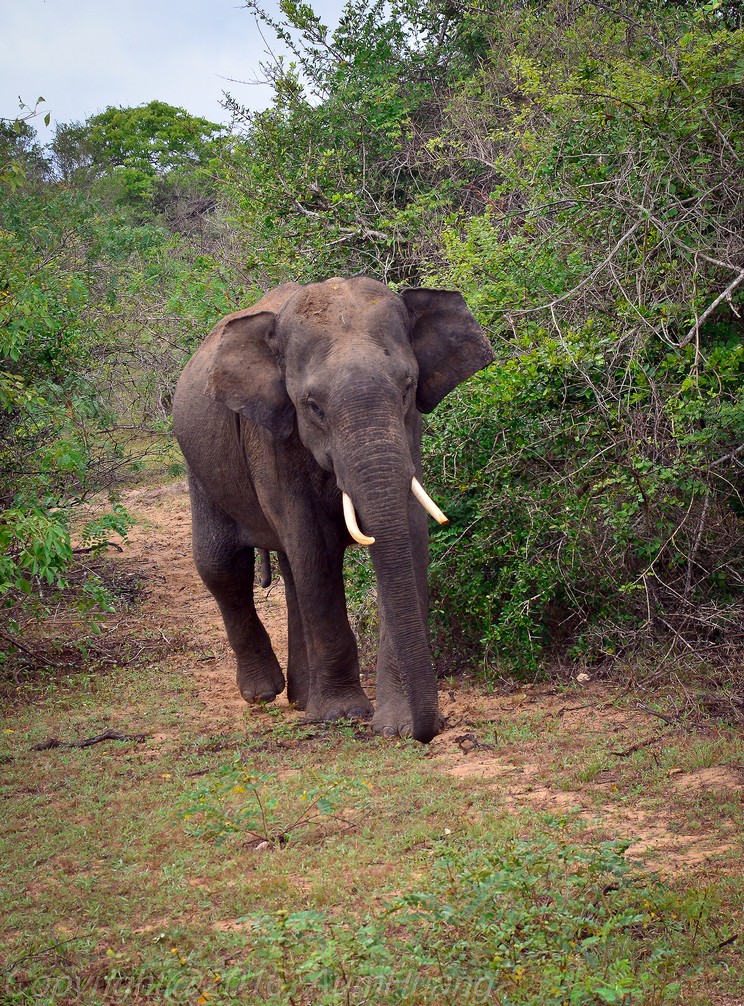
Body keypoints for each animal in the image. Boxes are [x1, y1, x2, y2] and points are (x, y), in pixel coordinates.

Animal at [171, 275, 490, 740]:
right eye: (314, 407)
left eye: (407, 388)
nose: (429, 730)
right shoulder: (272, 436)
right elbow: (315, 547)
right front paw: (340, 714)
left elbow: (409, 533)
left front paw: (394, 725)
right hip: (199, 465)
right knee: (223, 565)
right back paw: (264, 693)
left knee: (288, 570)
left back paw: (301, 699)